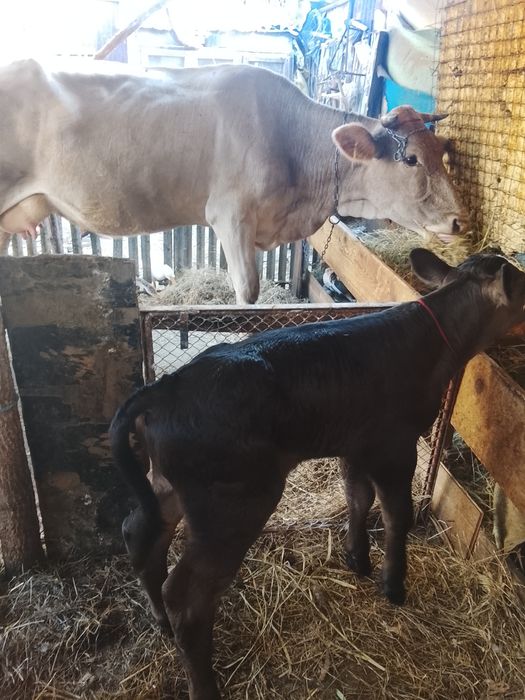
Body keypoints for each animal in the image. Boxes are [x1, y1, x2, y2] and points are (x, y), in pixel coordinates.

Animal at [110, 249, 525, 700]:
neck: (434, 341)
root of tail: (166, 387)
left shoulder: (356, 444)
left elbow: (357, 497)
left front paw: (356, 558)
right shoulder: (394, 447)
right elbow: (396, 514)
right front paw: (393, 584)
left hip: (169, 486)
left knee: (140, 533)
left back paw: (161, 623)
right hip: (233, 502)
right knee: (186, 595)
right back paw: (204, 684)